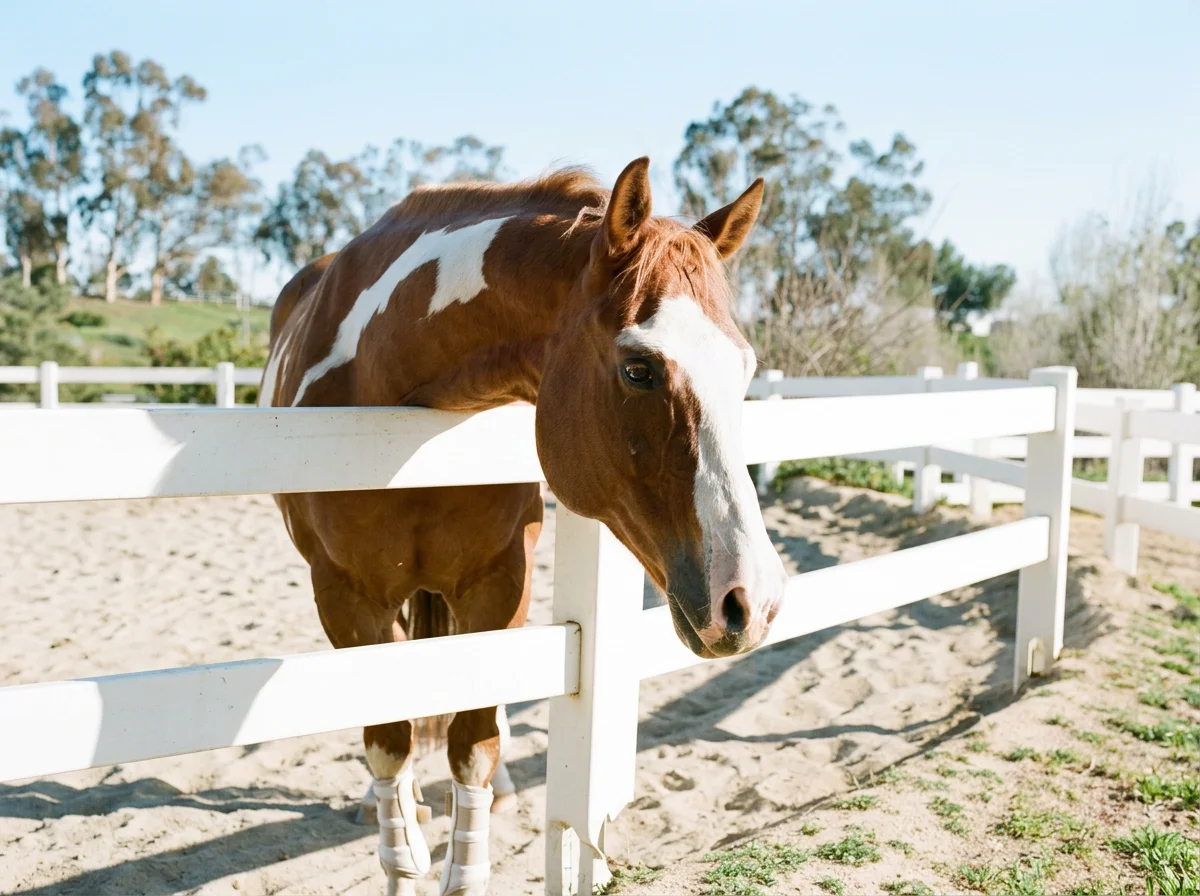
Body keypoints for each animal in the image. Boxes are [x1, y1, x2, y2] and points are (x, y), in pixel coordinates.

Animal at [258, 157, 788, 896]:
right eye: (638, 368)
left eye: (745, 370)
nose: (751, 601)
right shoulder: (345, 597)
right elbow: (389, 739)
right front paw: (402, 846)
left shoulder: (499, 583)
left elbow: (473, 742)